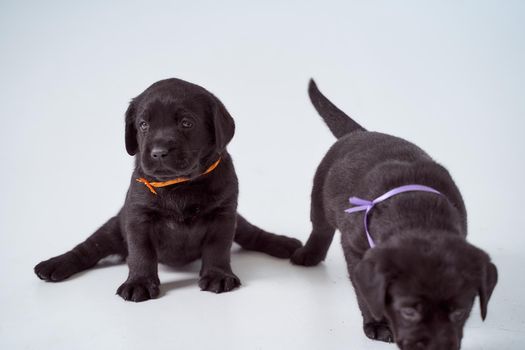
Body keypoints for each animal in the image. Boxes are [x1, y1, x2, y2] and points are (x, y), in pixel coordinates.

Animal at [34, 78, 300, 302]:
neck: (180, 184)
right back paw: (53, 265)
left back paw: (284, 243)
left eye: (186, 123)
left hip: (238, 221)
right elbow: (141, 252)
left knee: (253, 234)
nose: (159, 152)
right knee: (88, 248)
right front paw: (139, 282)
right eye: (143, 125)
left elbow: (218, 247)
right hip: (113, 227)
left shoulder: (224, 215)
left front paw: (217, 275)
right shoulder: (138, 218)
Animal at [292, 80, 498, 350]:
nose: (436, 347)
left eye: (459, 313)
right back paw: (308, 254)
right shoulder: (356, 249)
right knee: (321, 226)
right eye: (408, 312)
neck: (420, 217)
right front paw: (378, 324)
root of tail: (360, 133)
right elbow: (367, 293)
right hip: (320, 190)